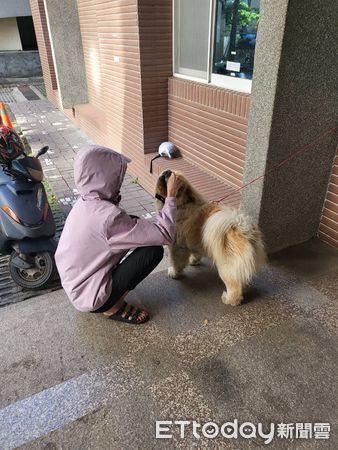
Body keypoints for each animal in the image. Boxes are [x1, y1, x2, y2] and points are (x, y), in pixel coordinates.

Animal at [156, 170, 266, 306]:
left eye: (171, 177)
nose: (167, 171)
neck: (182, 204)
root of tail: (242, 226)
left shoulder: (176, 247)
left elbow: (176, 262)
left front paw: (174, 273)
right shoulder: (193, 243)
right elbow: (196, 252)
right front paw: (194, 261)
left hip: (226, 265)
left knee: (234, 286)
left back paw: (229, 299)